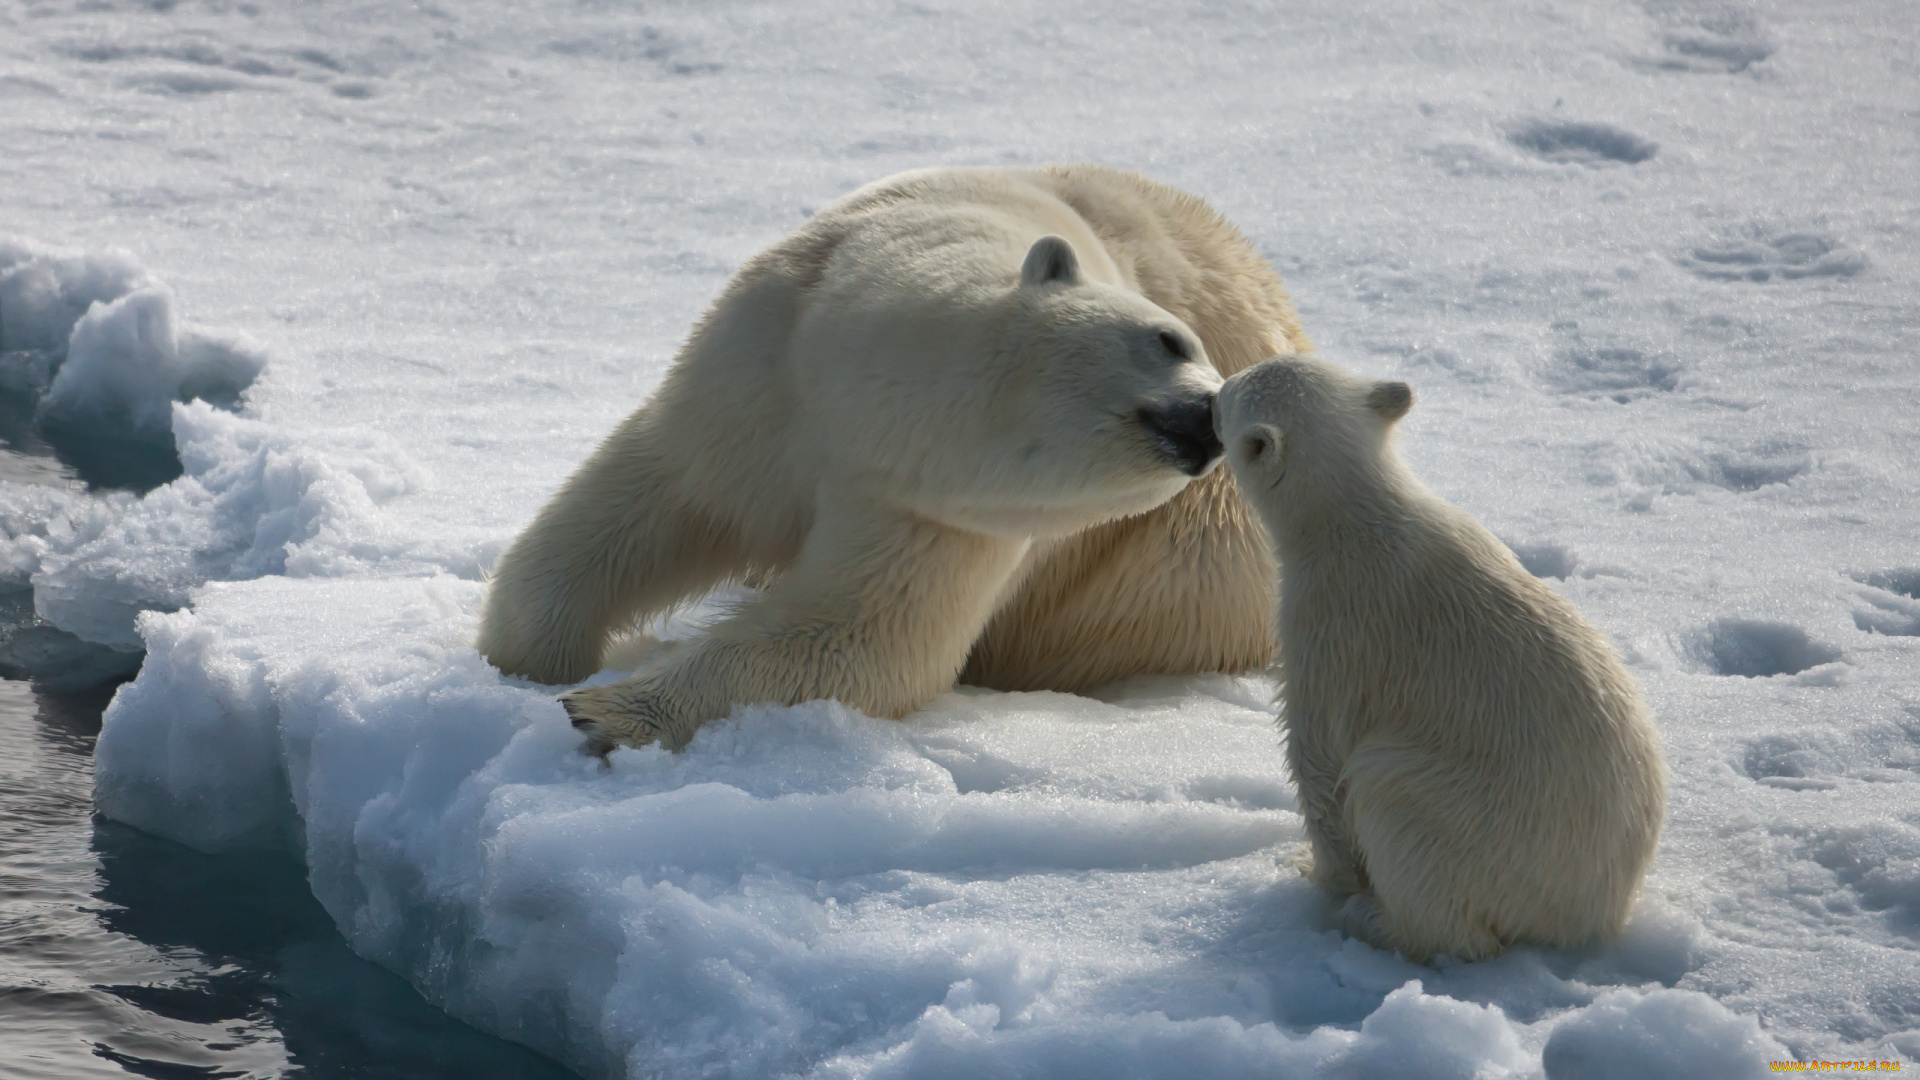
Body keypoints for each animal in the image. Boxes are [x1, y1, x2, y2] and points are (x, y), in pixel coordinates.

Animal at [487, 164, 1313, 749]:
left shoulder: (937, 513)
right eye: (1169, 339)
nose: (1210, 422)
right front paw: (527, 663)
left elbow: (860, 636)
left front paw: (603, 708)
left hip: (1189, 575)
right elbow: (658, 499)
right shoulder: (763, 370)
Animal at [1221, 355, 1658, 957]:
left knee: (1393, 800)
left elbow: (1320, 753)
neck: (1353, 516)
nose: (1211, 391)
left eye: (1234, 391)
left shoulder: (1328, 624)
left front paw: (1320, 872)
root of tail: (1589, 918)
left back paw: (1375, 918)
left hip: (1475, 825)